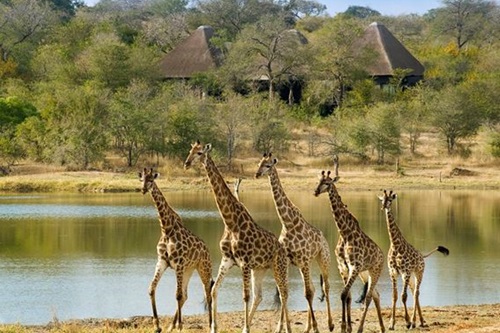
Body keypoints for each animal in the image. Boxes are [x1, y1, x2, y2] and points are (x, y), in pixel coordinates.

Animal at [140, 169, 214, 332]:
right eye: (141, 179)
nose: (143, 189)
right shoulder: (162, 262)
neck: (166, 229)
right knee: (186, 295)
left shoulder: (178, 264)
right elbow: (151, 289)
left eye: (151, 180)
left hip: (203, 268)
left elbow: (177, 295)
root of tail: (207, 249)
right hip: (189, 269)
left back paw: (211, 324)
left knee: (207, 293)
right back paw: (170, 326)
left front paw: (180, 326)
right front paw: (157, 326)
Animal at [185, 141, 292, 332]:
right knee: (261, 296)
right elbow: (214, 290)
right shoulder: (228, 259)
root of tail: (282, 249)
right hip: (260, 269)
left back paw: (285, 327)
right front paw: (214, 328)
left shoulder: (244, 263)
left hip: (278, 267)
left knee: (283, 293)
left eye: (199, 152)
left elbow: (245, 296)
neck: (230, 222)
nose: (186, 163)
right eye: (190, 151)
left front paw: (246, 328)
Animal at [256, 152, 334, 330]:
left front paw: (316, 327)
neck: (288, 222)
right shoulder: (287, 260)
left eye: (268, 165)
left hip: (322, 259)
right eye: (259, 163)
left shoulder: (304, 260)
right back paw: (307, 327)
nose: (257, 174)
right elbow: (284, 292)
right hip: (304, 264)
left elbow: (307, 293)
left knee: (325, 287)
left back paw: (330, 324)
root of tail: (324, 237)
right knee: (313, 288)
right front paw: (280, 327)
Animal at [314, 157, 384, 330]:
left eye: (327, 183)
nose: (315, 191)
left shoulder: (354, 266)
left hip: (375, 271)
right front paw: (345, 326)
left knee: (369, 297)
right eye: (318, 181)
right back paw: (382, 327)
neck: (345, 233)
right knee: (375, 295)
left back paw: (361, 328)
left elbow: (344, 294)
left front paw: (347, 326)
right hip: (365, 273)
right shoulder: (343, 266)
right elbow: (346, 296)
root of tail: (382, 255)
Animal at [378, 188, 450, 328]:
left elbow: (403, 296)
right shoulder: (393, 272)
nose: (384, 207)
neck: (395, 245)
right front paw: (391, 323)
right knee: (414, 292)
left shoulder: (405, 272)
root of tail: (422, 256)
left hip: (418, 273)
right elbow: (395, 296)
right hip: (410, 276)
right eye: (382, 199)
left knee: (416, 293)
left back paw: (415, 321)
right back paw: (419, 321)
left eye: (390, 200)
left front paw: (407, 321)